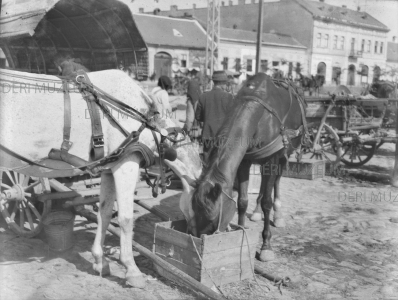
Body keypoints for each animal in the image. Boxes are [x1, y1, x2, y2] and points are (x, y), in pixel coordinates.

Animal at [0, 68, 202, 288]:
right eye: (203, 202)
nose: (197, 233)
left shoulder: (108, 168)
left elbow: (104, 214)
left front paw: (99, 260)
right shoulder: (126, 164)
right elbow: (125, 218)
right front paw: (131, 269)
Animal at [190, 74, 304, 262]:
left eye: (213, 219)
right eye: (194, 211)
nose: (199, 239)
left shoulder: (272, 159)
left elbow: (267, 202)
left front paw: (266, 246)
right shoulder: (245, 161)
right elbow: (242, 202)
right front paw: (241, 232)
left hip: (285, 153)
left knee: (276, 180)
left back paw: (278, 214)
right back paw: (256, 212)